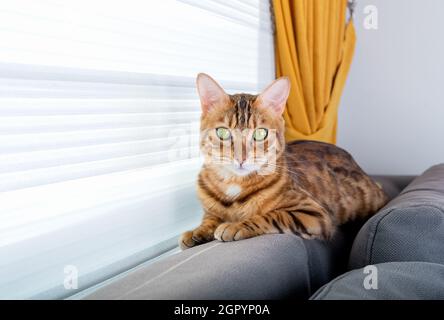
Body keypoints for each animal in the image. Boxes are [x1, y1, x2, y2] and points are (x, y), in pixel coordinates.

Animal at [179, 73, 386, 250]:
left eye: (260, 134)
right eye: (222, 132)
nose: (241, 158)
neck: (234, 185)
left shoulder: (313, 213)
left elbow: (271, 215)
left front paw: (236, 225)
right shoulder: (210, 210)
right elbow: (210, 217)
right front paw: (197, 231)